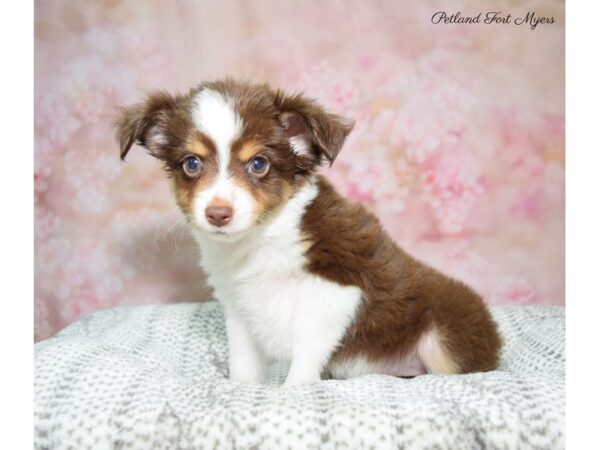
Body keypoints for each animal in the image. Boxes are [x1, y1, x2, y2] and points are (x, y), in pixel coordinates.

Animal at [115, 79, 500, 384]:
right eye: (192, 164)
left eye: (259, 164)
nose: (218, 214)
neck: (264, 238)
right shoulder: (239, 308)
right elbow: (244, 365)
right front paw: (241, 389)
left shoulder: (334, 294)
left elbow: (306, 355)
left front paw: (293, 390)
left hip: (441, 337)